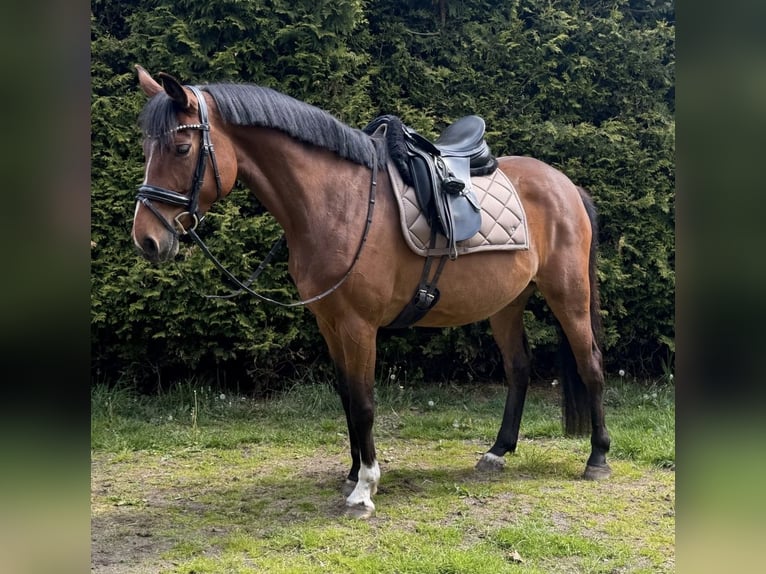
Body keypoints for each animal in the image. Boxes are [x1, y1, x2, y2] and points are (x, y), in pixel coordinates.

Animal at [130, 65, 611, 519]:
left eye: (181, 148)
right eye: (146, 150)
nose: (147, 239)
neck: (337, 203)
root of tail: (567, 186)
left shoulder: (359, 325)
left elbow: (363, 403)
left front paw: (364, 488)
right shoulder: (329, 322)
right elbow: (346, 396)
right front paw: (352, 471)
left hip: (568, 293)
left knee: (590, 363)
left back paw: (598, 457)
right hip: (507, 303)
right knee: (519, 367)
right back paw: (497, 452)